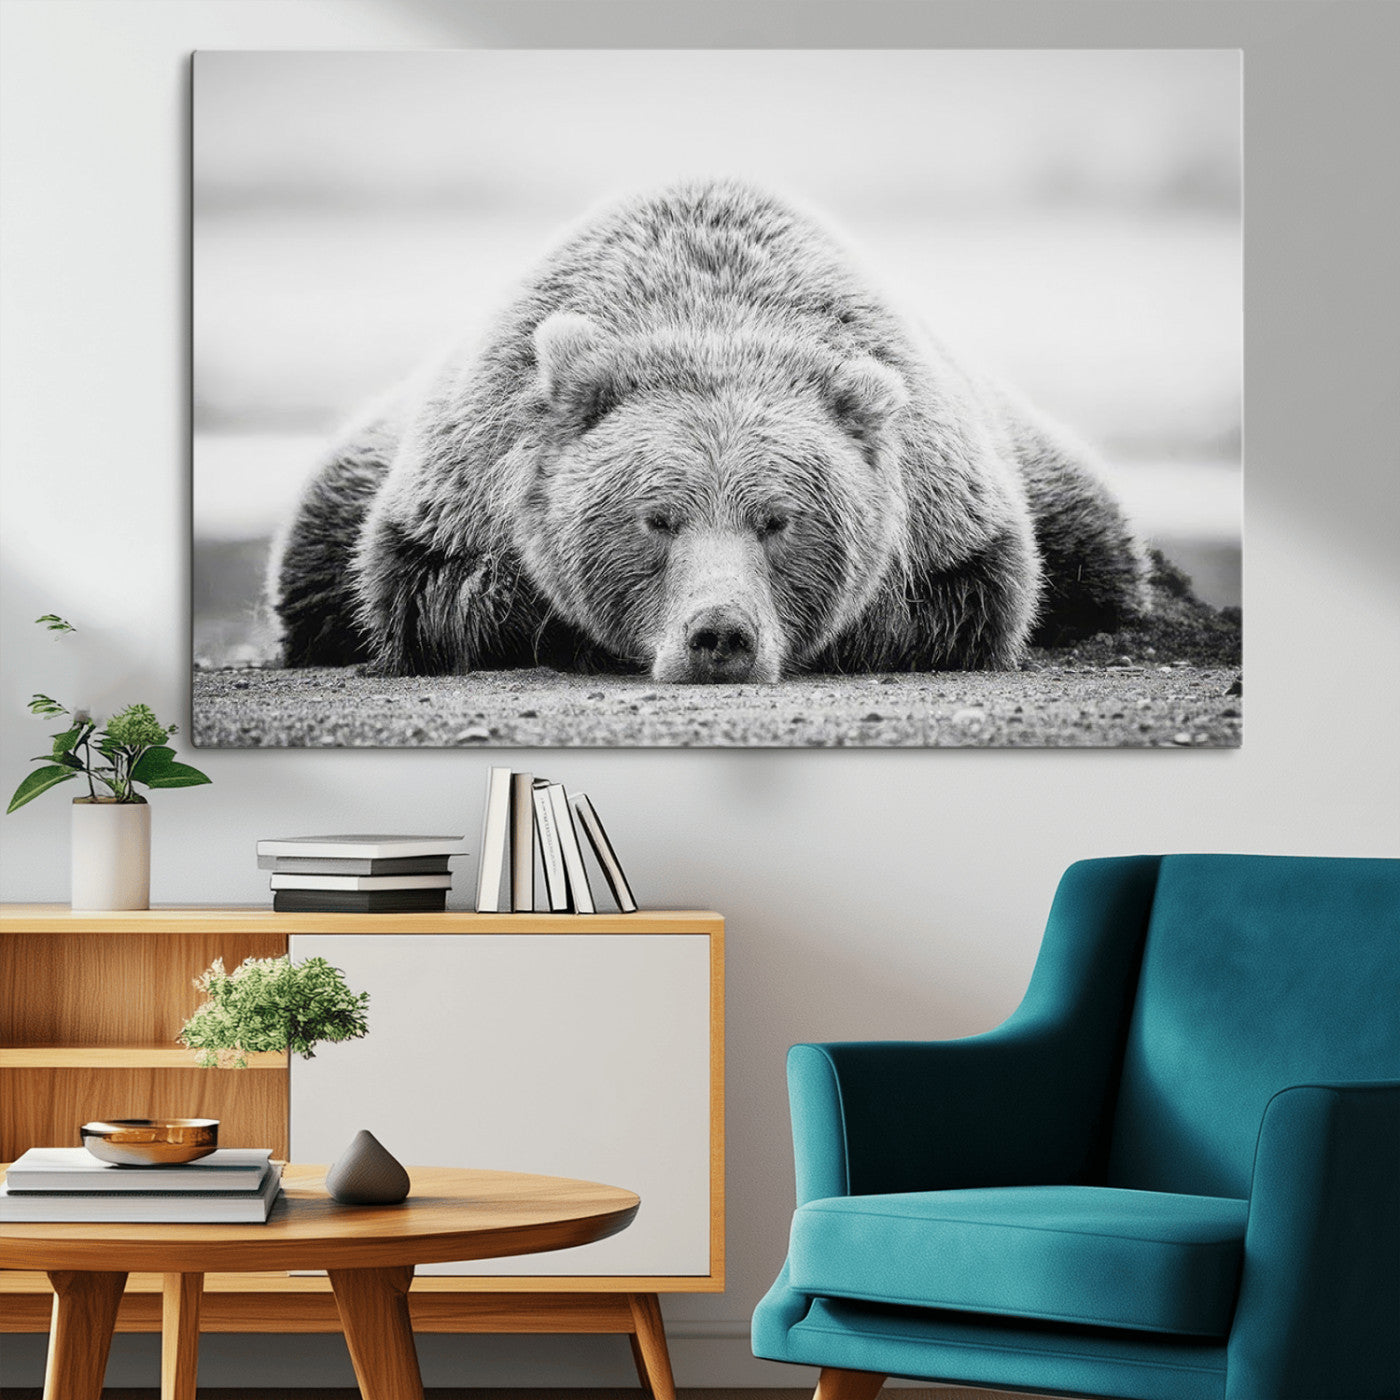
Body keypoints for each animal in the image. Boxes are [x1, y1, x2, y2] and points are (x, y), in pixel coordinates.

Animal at [270, 179, 1147, 682]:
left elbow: (969, 598)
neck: (712, 317)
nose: (719, 635)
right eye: (656, 518)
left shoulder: (948, 511)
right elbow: (436, 592)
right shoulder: (460, 491)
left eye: (779, 520)